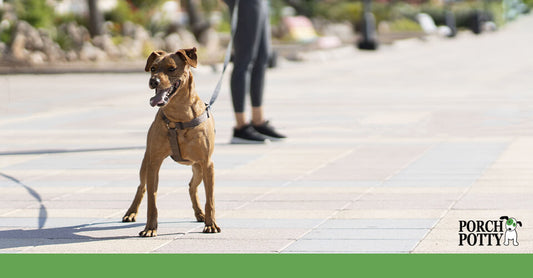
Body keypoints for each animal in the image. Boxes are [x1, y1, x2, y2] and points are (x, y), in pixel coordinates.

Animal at [121, 47, 219, 237]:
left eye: (172, 68)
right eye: (153, 68)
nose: (153, 81)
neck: (179, 117)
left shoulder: (207, 163)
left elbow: (210, 199)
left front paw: (210, 224)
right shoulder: (154, 163)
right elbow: (152, 199)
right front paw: (150, 228)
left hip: (199, 168)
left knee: (192, 186)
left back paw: (200, 214)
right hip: (146, 163)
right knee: (141, 187)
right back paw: (131, 213)